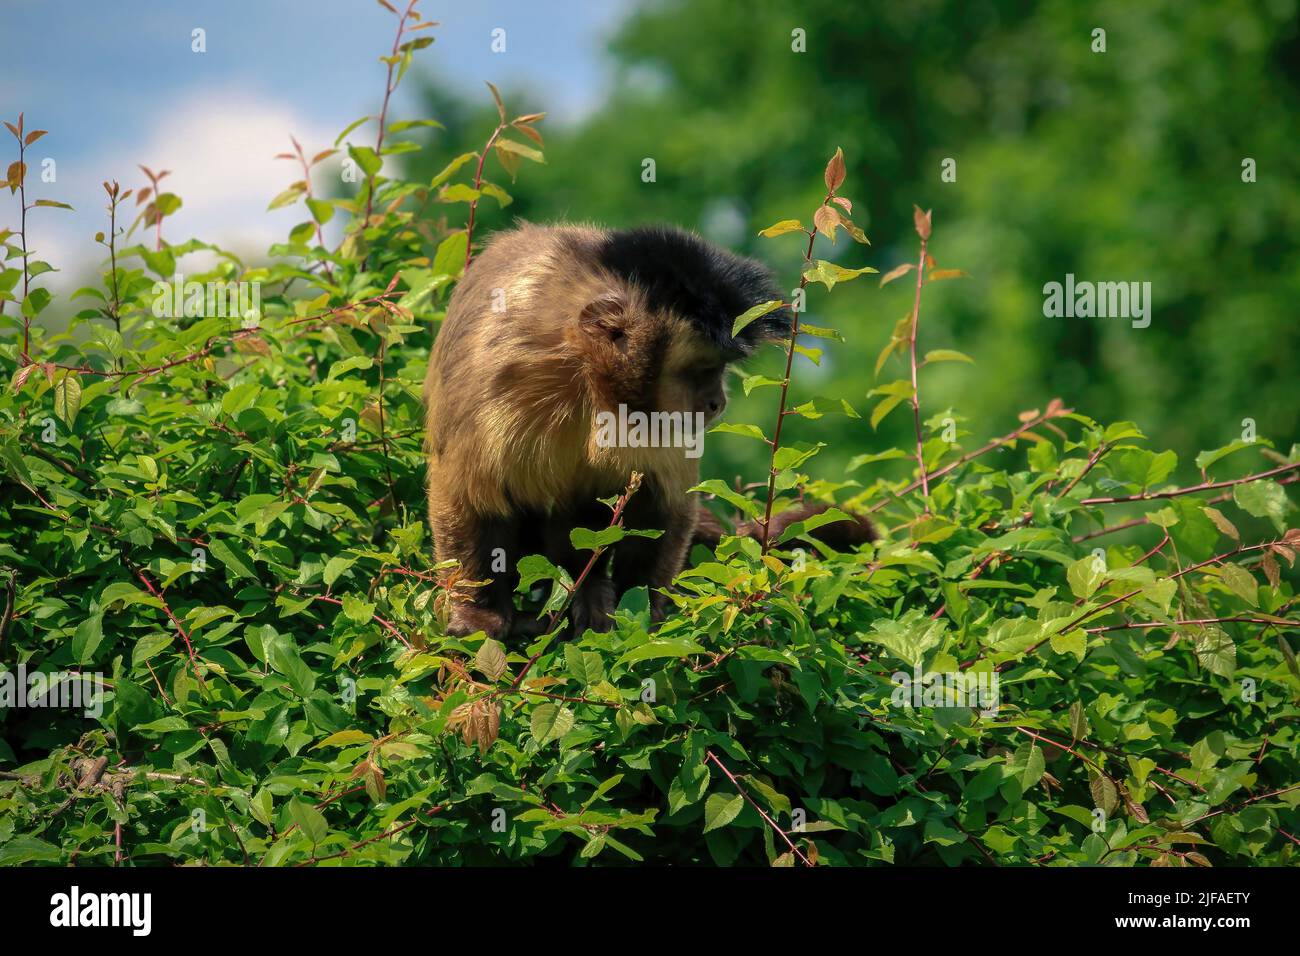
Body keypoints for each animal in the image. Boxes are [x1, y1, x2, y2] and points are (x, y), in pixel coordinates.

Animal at [426, 225, 873, 639]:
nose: (718, 401)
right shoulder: (506, 377)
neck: (584, 374)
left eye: (721, 368)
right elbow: (472, 495)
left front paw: (642, 616)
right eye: (699, 370)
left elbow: (662, 507)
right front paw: (481, 616)